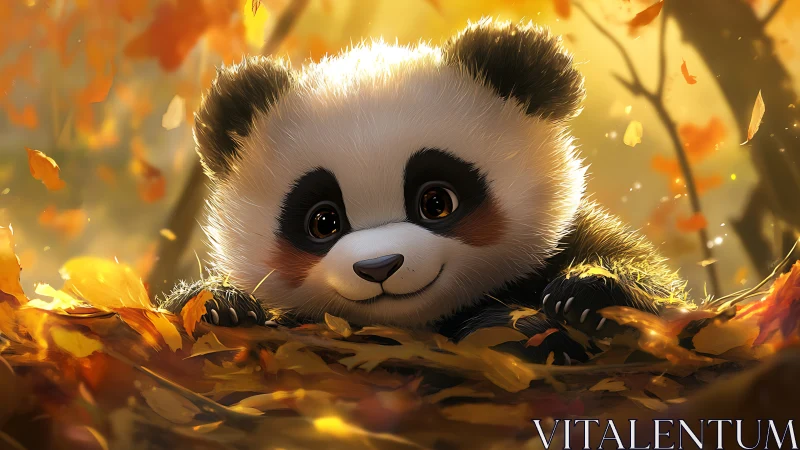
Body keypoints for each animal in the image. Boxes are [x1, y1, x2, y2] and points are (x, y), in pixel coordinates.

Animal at [162, 19, 690, 365]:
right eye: (324, 221)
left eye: (436, 202)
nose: (379, 266)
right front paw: (218, 303)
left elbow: (660, 300)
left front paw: (584, 294)